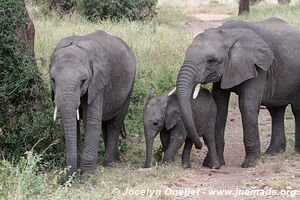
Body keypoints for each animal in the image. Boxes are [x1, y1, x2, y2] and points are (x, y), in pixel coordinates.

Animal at [49, 30, 136, 177]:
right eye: (53, 80)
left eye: (83, 81)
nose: (62, 179)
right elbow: (74, 123)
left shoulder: (98, 82)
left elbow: (91, 120)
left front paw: (87, 176)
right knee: (105, 123)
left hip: (130, 85)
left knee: (115, 123)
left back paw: (111, 164)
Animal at [175, 18, 300, 167]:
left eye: (211, 61)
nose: (198, 145)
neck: (227, 34)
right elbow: (220, 106)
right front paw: (212, 164)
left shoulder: (257, 66)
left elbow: (247, 105)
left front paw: (251, 164)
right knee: (276, 110)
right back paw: (273, 153)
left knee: (296, 110)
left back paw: (296, 153)